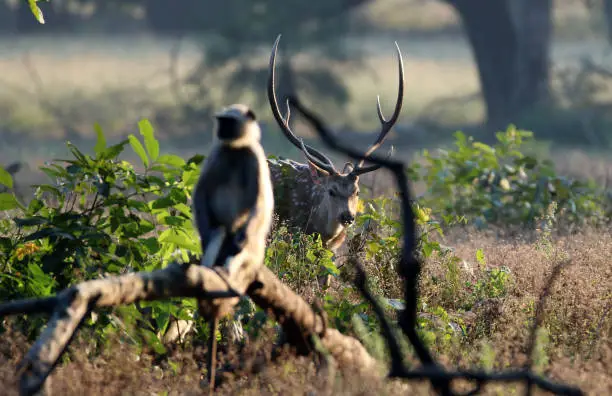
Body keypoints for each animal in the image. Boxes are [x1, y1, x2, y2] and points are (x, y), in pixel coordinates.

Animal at [266, 34, 404, 284]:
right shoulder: (292, 235)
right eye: (331, 191)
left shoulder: (330, 250)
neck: (321, 231)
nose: (348, 216)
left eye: (356, 191)